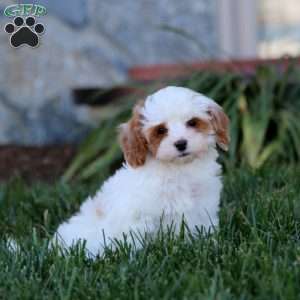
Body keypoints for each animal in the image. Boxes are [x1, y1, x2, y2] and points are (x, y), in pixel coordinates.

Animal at [54, 86, 230, 255]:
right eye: (161, 130)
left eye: (192, 122)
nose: (181, 144)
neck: (178, 168)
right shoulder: (138, 215)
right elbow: (134, 240)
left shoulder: (203, 206)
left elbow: (204, 228)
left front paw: (211, 245)